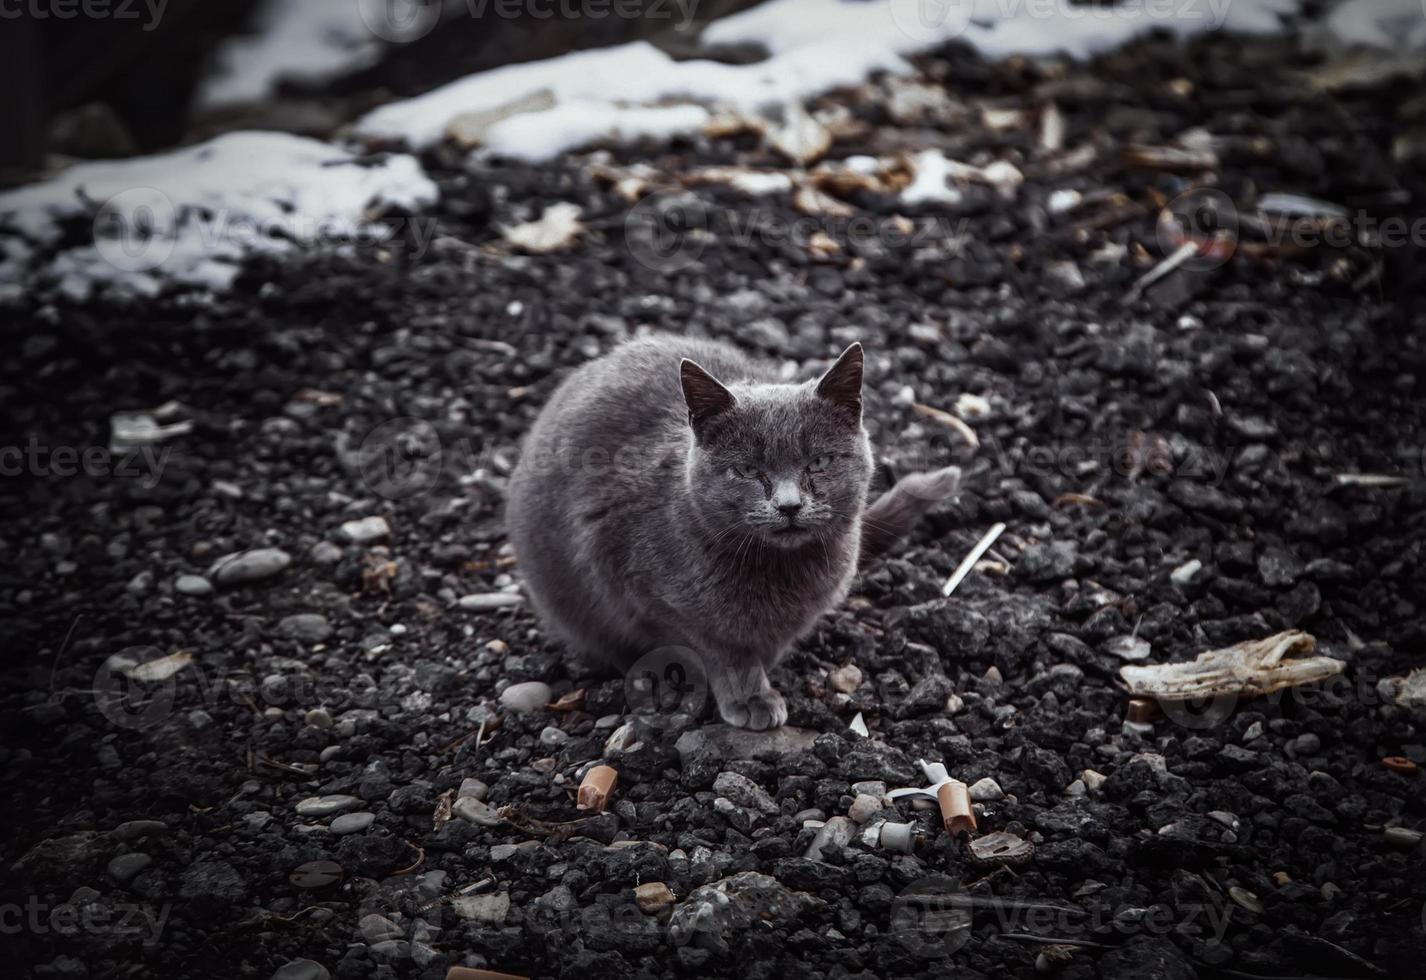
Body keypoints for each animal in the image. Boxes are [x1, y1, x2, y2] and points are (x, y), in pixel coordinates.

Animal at [501, 336, 958, 727]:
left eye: (819, 462)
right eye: (748, 470)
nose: (789, 505)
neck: (781, 573)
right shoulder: (649, 596)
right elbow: (721, 649)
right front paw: (750, 695)